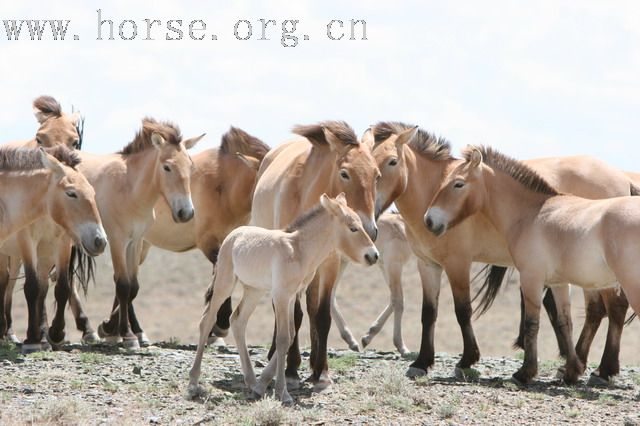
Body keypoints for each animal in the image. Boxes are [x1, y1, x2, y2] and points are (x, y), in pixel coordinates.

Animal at [76, 118, 204, 348]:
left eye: (191, 165)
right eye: (167, 167)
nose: (186, 213)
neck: (129, 189)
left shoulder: (135, 243)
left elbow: (133, 287)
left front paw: (113, 328)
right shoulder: (117, 241)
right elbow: (122, 285)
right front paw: (126, 335)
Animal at [189, 195, 380, 404]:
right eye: (353, 228)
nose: (373, 255)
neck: (298, 250)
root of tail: (233, 235)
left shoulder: (290, 296)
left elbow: (289, 335)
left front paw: (263, 385)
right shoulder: (281, 296)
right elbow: (282, 339)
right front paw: (284, 393)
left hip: (254, 290)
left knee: (238, 321)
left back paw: (252, 382)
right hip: (225, 284)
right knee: (206, 321)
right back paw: (193, 383)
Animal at [249, 120, 380, 390]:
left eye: (377, 176)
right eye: (344, 173)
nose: (370, 229)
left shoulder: (329, 263)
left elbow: (321, 314)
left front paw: (322, 372)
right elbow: (294, 316)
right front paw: (290, 369)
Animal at [424, 145, 640, 384]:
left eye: (458, 183)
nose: (429, 220)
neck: (532, 213)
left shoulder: (531, 278)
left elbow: (531, 323)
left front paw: (525, 372)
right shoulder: (558, 283)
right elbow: (565, 323)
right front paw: (571, 371)